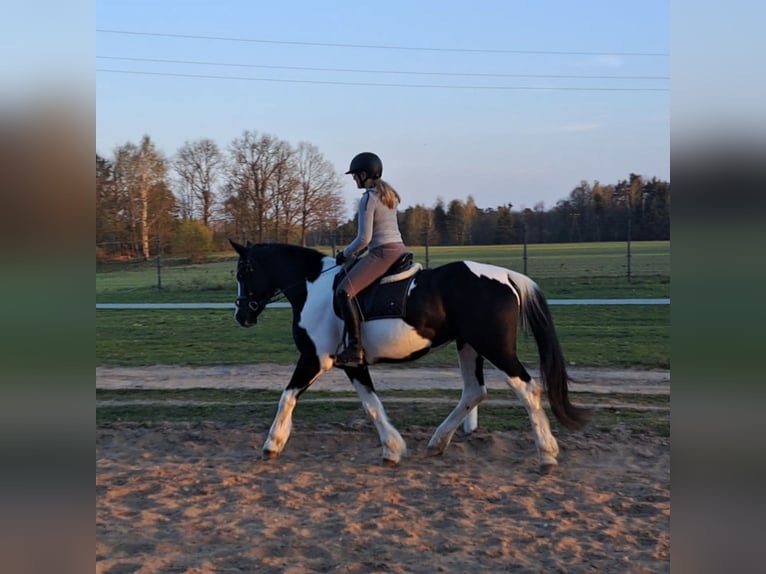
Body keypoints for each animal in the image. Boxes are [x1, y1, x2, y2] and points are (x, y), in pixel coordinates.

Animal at [230, 240, 588, 470]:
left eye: (243, 272)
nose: (241, 316)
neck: (313, 287)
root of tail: (506, 276)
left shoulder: (314, 358)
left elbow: (287, 396)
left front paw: (272, 444)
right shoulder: (352, 363)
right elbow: (371, 404)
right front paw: (392, 449)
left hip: (494, 348)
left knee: (528, 389)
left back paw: (546, 454)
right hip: (469, 346)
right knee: (474, 392)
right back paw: (437, 443)